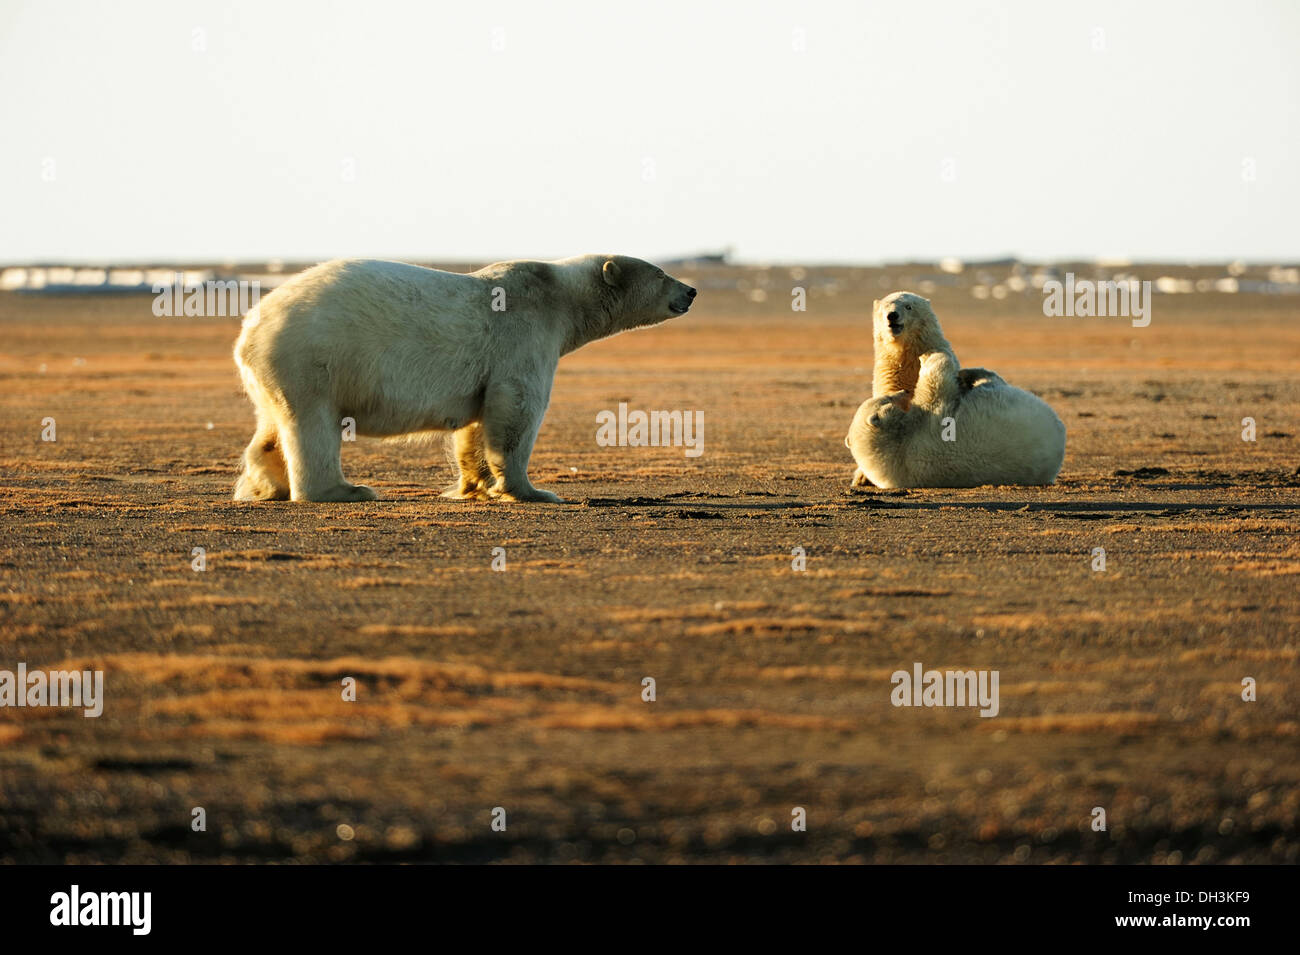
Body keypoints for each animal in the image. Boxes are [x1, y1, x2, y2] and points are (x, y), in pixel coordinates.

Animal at [233, 257, 702, 504]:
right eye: (661, 273)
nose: (692, 290)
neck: (557, 294)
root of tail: (250, 328)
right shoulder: (524, 335)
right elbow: (517, 408)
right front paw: (533, 491)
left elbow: (478, 420)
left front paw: (474, 486)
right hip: (313, 358)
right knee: (312, 425)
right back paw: (346, 489)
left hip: (273, 374)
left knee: (270, 428)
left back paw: (265, 484)